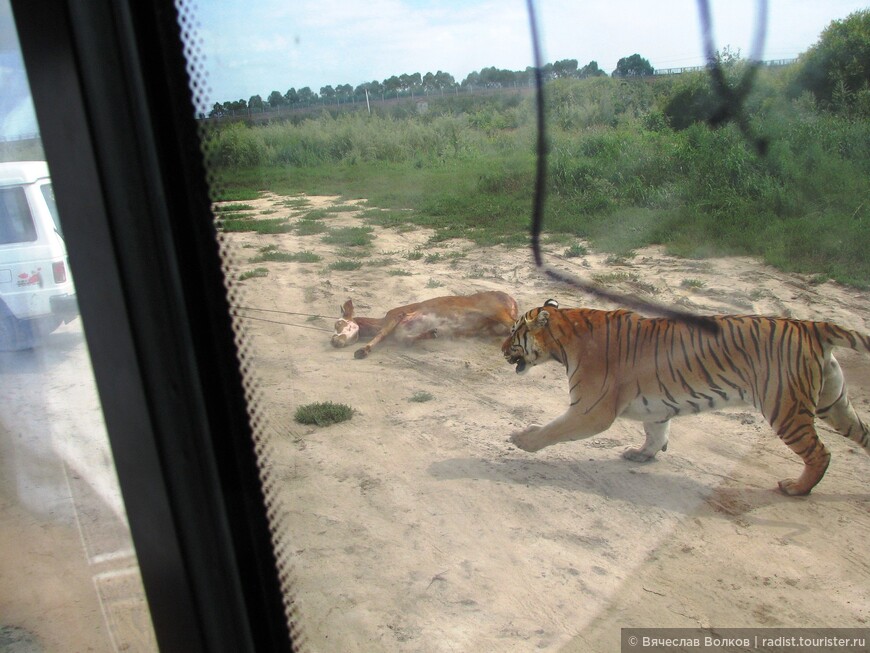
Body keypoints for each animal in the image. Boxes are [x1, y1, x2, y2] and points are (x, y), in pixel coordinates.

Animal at [504, 300, 870, 494]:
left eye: (514, 332)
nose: (502, 348)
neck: (566, 333)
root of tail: (811, 325)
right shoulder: (655, 408)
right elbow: (656, 433)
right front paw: (642, 455)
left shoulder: (590, 410)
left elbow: (553, 429)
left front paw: (521, 439)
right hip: (834, 403)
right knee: (863, 434)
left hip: (786, 409)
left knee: (820, 453)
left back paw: (796, 488)